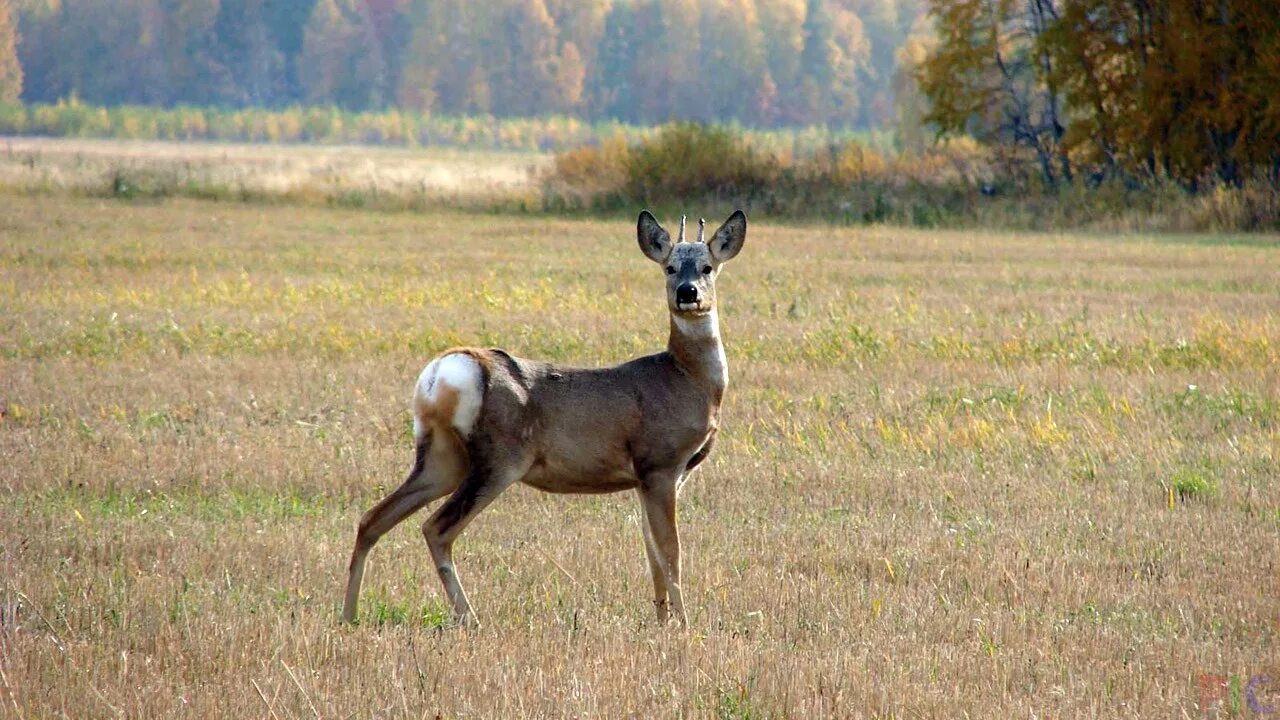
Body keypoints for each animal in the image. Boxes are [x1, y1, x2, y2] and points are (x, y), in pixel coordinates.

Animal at [343, 207, 747, 622]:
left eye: (707, 267)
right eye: (669, 267)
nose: (687, 293)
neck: (687, 379)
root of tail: (442, 372)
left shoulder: (647, 479)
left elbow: (652, 553)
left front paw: (662, 620)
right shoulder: (660, 463)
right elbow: (671, 553)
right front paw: (683, 622)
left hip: (442, 458)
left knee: (372, 519)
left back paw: (349, 614)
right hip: (499, 459)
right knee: (435, 528)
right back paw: (470, 617)